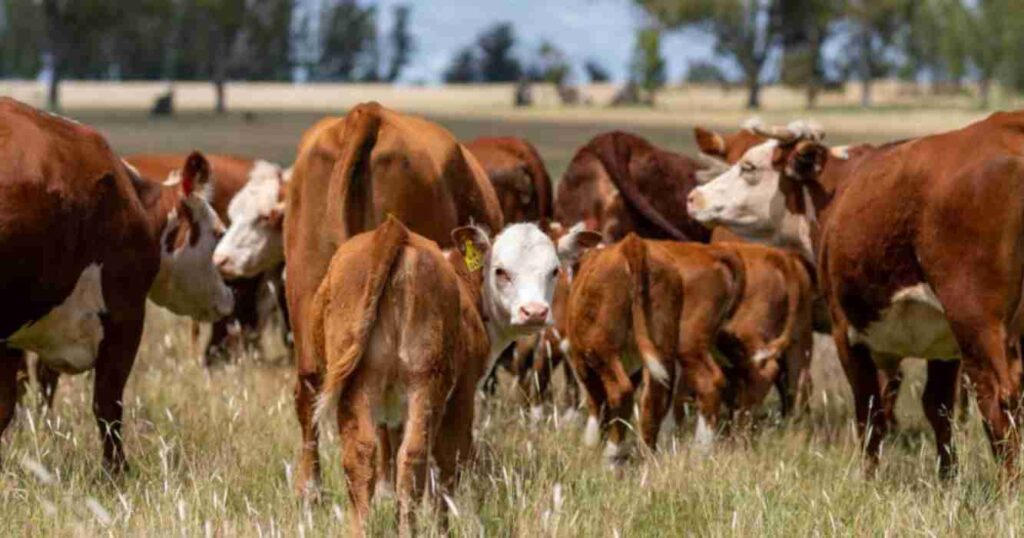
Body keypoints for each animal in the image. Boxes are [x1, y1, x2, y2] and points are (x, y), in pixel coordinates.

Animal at [0, 98, 232, 471]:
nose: (228, 295)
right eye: (219, 233)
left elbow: (8, 404)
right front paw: (117, 471)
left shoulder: (11, 335)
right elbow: (108, 404)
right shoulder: (125, 316)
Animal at [307, 216, 593, 532]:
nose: (534, 312)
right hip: (427, 385)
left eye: (554, 270)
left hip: (358, 384)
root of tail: (395, 232)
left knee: (363, 455)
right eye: (500, 271)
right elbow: (447, 467)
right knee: (417, 457)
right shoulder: (461, 395)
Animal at [688, 114, 1024, 477]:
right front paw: (947, 479)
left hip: (975, 322)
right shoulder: (942, 343)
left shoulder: (846, 333)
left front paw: (869, 479)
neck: (838, 187)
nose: (694, 197)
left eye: (748, 166)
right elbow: (938, 410)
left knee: (999, 401)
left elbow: (869, 413)